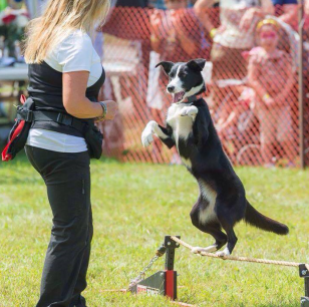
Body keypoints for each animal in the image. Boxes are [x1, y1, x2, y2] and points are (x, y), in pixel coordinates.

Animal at [141, 59, 288, 256]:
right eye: (170, 75)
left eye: (184, 75)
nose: (170, 88)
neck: (182, 102)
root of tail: (244, 199)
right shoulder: (171, 139)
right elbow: (152, 122)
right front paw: (145, 137)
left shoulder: (200, 137)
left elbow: (195, 109)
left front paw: (188, 110)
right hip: (198, 214)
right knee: (221, 237)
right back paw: (203, 249)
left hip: (223, 208)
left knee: (232, 237)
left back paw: (225, 253)